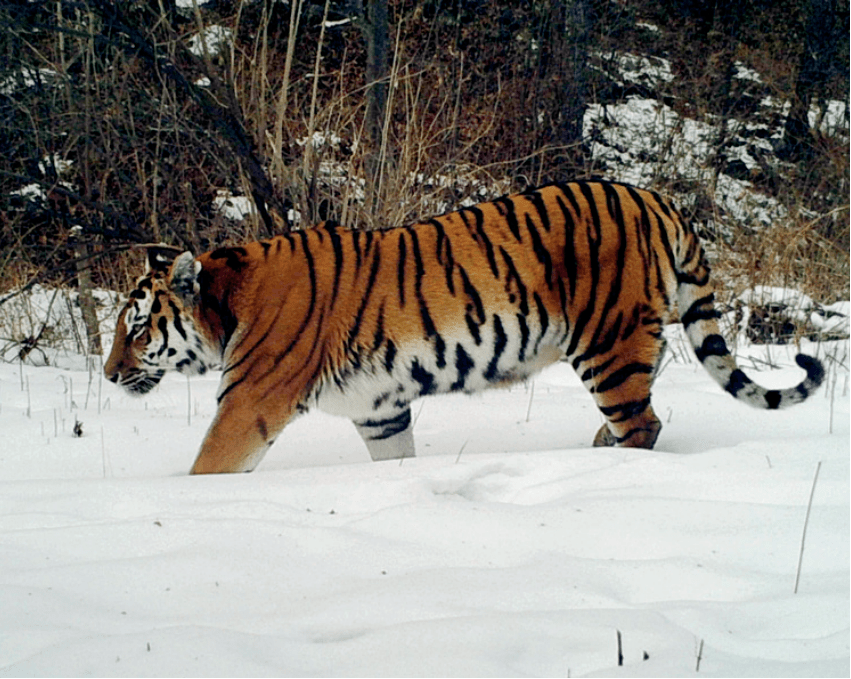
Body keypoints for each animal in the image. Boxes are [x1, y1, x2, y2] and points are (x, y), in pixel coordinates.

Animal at [101, 183, 824, 476]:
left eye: (135, 328)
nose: (107, 374)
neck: (226, 303)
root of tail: (657, 197)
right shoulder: (378, 410)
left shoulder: (249, 402)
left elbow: (207, 467)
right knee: (637, 421)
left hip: (609, 344)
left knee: (642, 423)